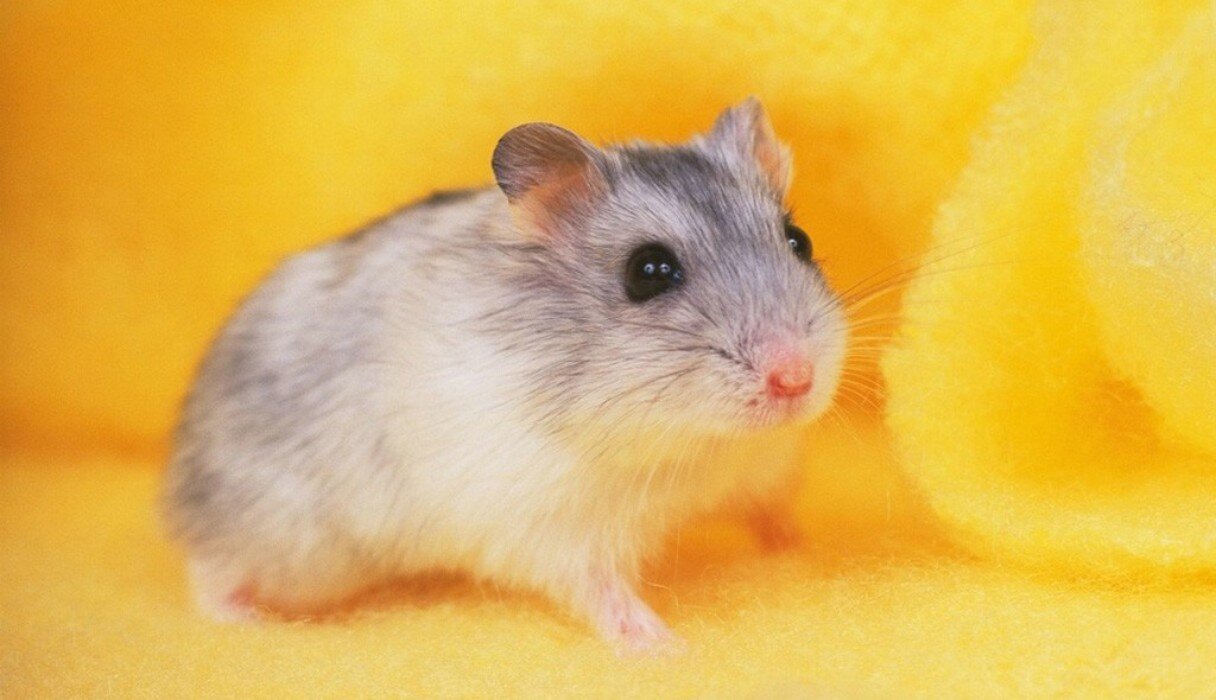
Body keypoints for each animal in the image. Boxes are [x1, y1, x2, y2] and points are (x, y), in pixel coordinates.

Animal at [161, 98, 847, 654]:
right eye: (648, 272)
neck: (697, 444)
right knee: (207, 570)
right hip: (278, 539)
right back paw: (242, 621)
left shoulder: (761, 470)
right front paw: (666, 648)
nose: (795, 379)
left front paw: (807, 551)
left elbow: (773, 514)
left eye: (800, 240)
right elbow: (602, 590)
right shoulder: (555, 526)